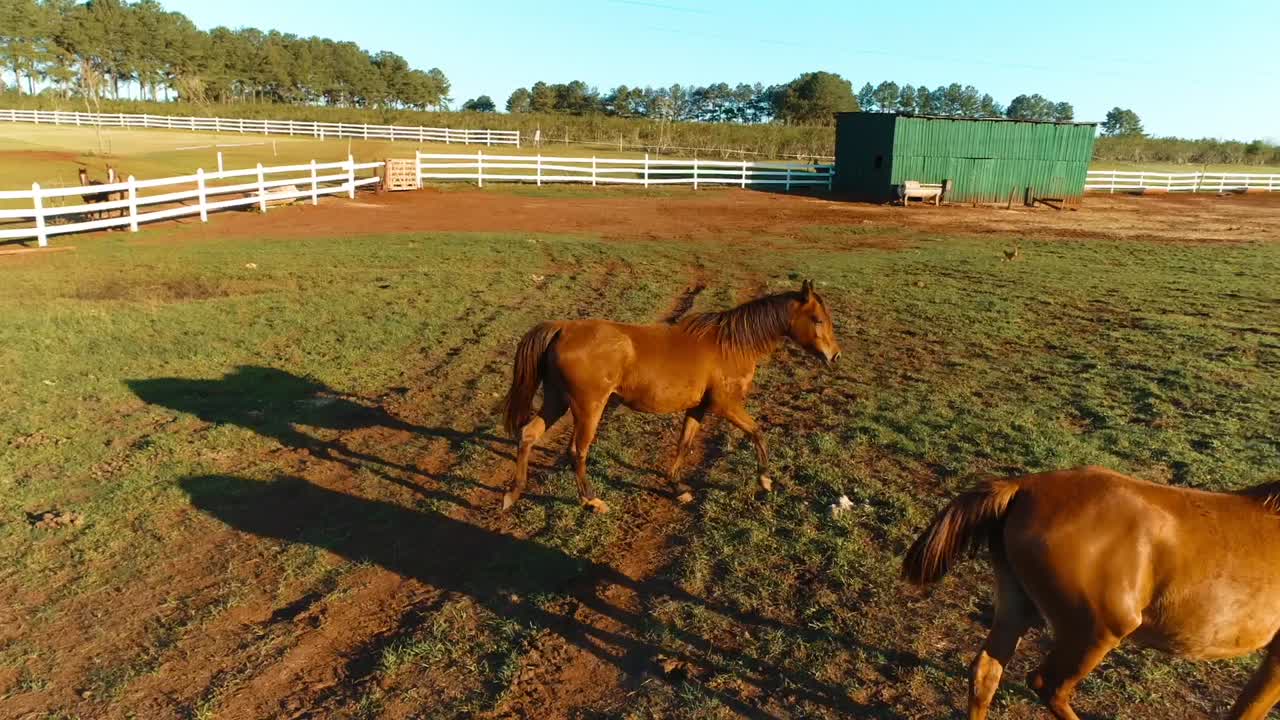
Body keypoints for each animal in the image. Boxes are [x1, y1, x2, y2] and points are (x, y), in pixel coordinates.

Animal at [500, 280, 841, 514]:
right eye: (818, 320)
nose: (835, 356)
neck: (730, 345)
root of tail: (562, 329)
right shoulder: (726, 405)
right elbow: (758, 432)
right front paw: (765, 480)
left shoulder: (698, 408)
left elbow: (684, 444)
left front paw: (677, 486)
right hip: (588, 407)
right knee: (577, 452)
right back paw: (591, 500)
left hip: (556, 401)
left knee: (528, 435)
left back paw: (513, 493)